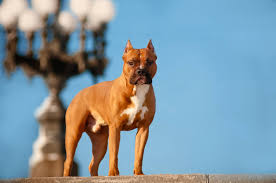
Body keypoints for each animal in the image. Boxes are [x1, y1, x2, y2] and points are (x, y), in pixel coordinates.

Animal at [63, 39, 157, 176]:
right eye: (131, 63)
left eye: (149, 62)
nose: (141, 71)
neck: (137, 89)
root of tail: (78, 94)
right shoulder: (115, 128)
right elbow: (114, 153)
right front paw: (113, 174)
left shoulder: (143, 128)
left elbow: (139, 154)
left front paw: (138, 173)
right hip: (73, 133)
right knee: (68, 161)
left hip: (100, 141)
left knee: (93, 165)